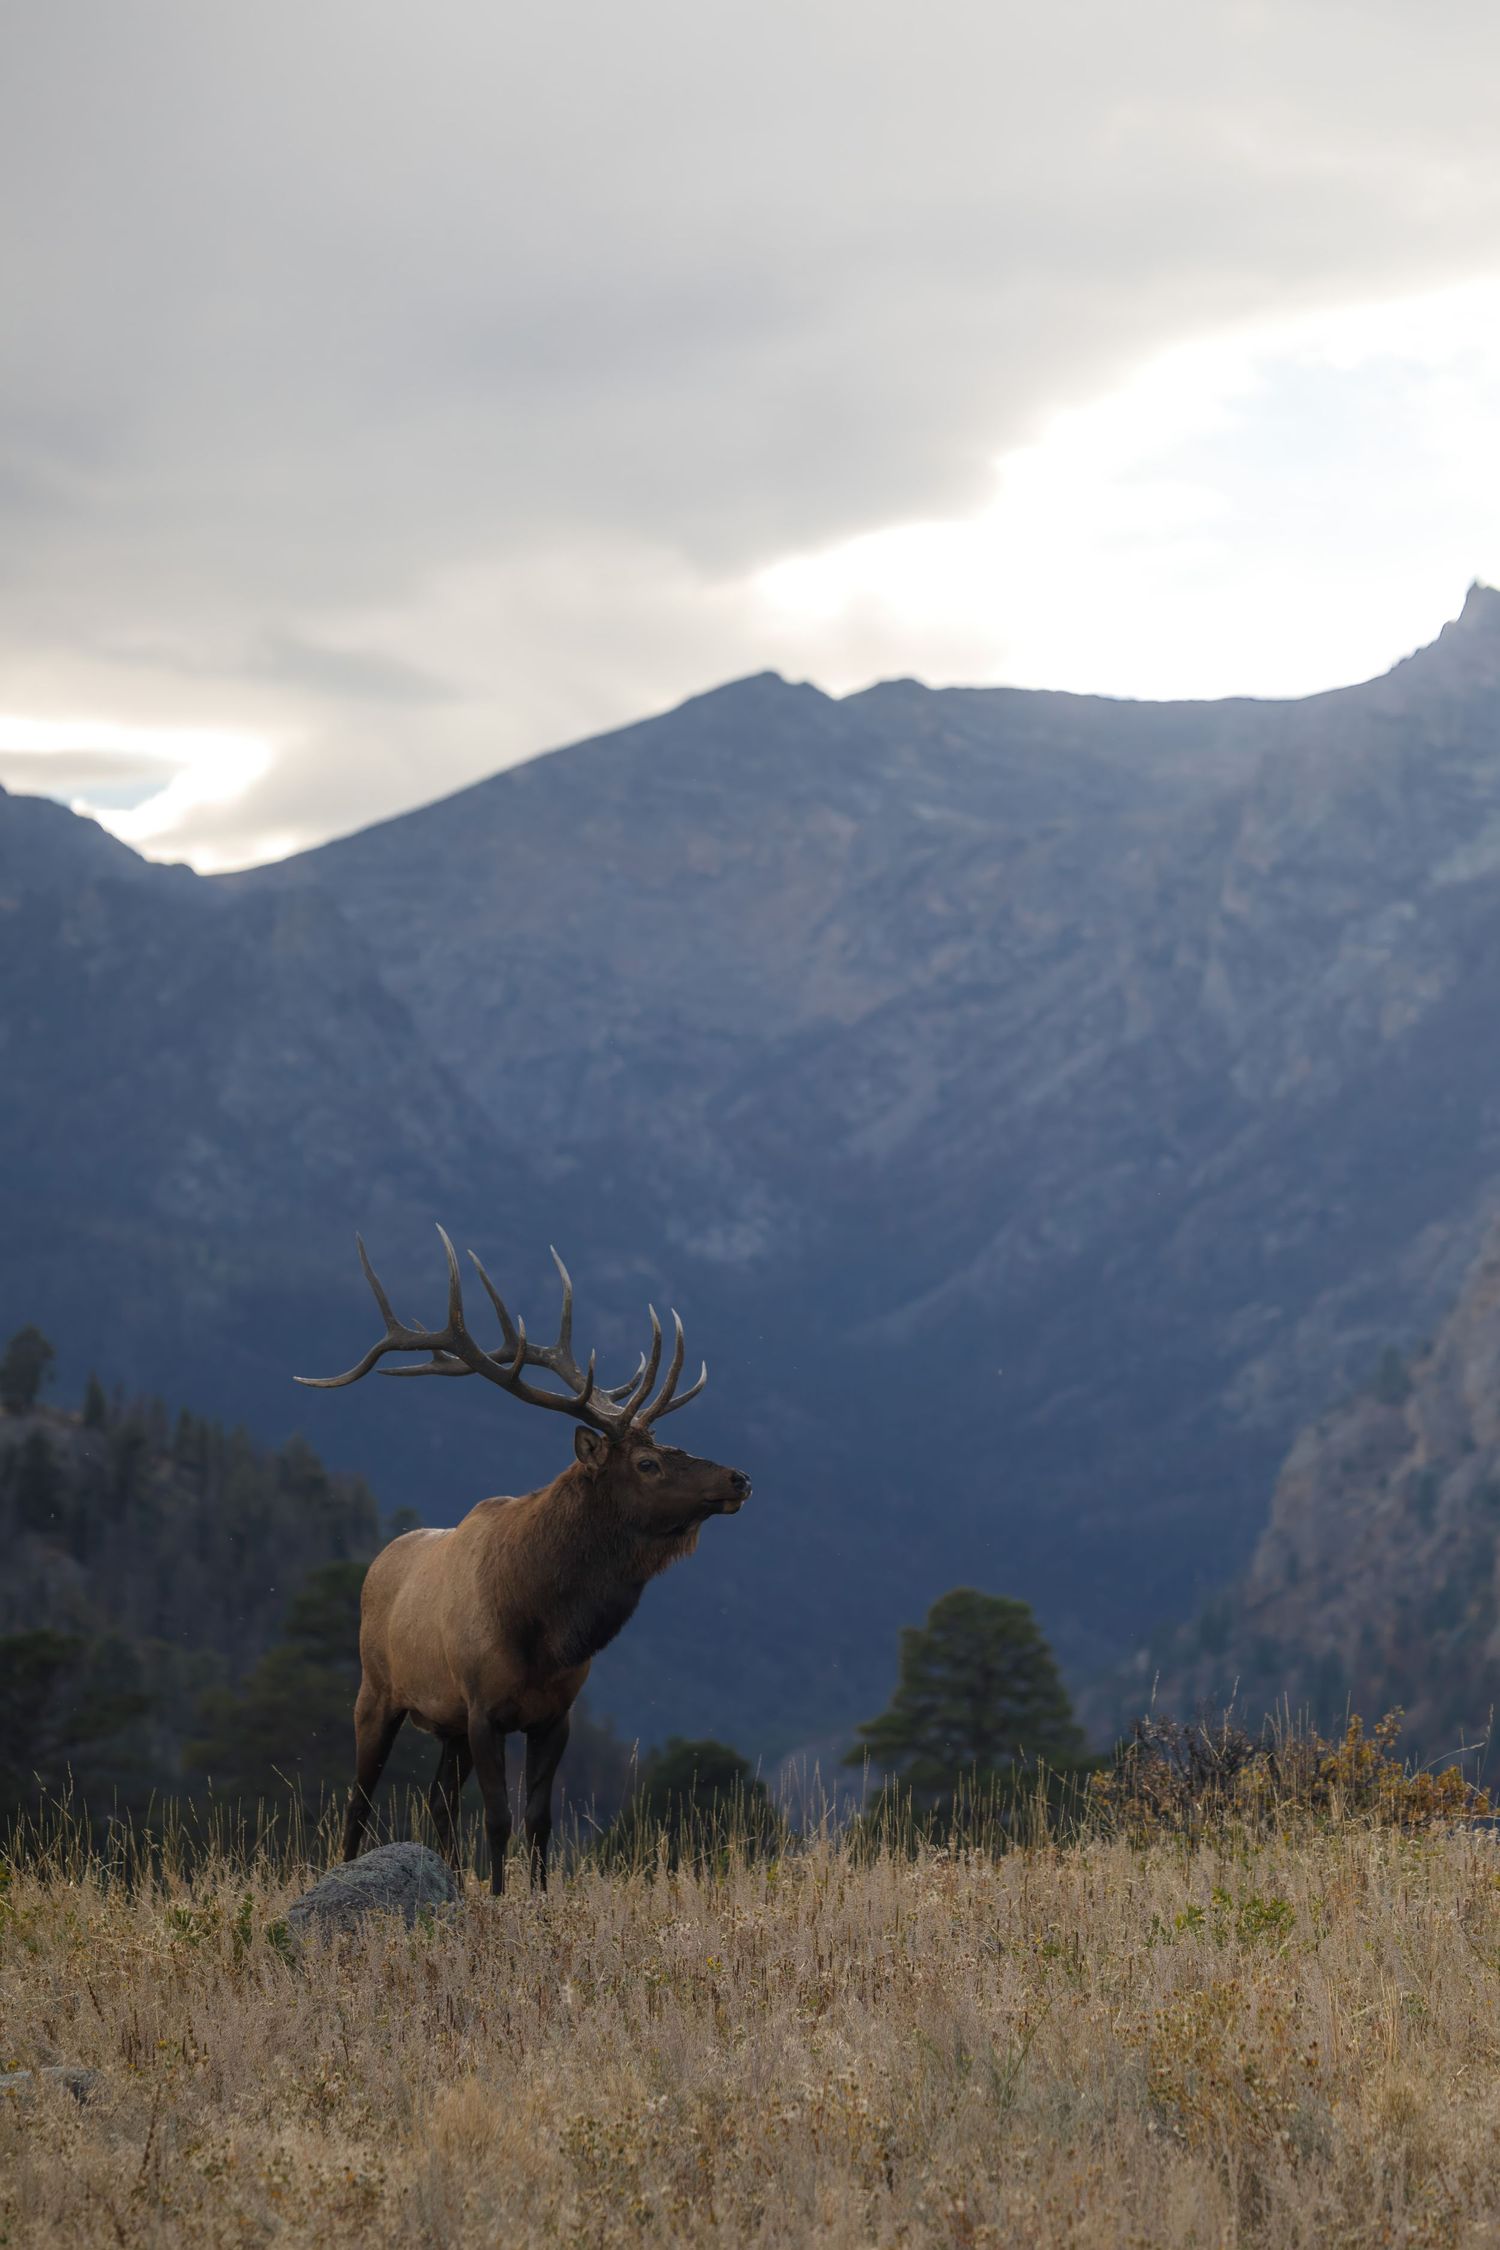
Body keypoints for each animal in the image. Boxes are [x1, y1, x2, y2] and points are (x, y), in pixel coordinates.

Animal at [296, 1228, 750, 1892]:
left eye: (669, 1446)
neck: (542, 1627)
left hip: (446, 1721)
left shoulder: (554, 1714)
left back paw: (453, 1879)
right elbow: (499, 1818)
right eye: (647, 1463)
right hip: (377, 1691)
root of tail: (379, 1561)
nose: (739, 1478)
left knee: (437, 1798)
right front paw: (499, 1896)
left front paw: (534, 1896)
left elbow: (538, 1819)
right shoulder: (484, 1709)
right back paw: (346, 1871)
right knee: (360, 1797)